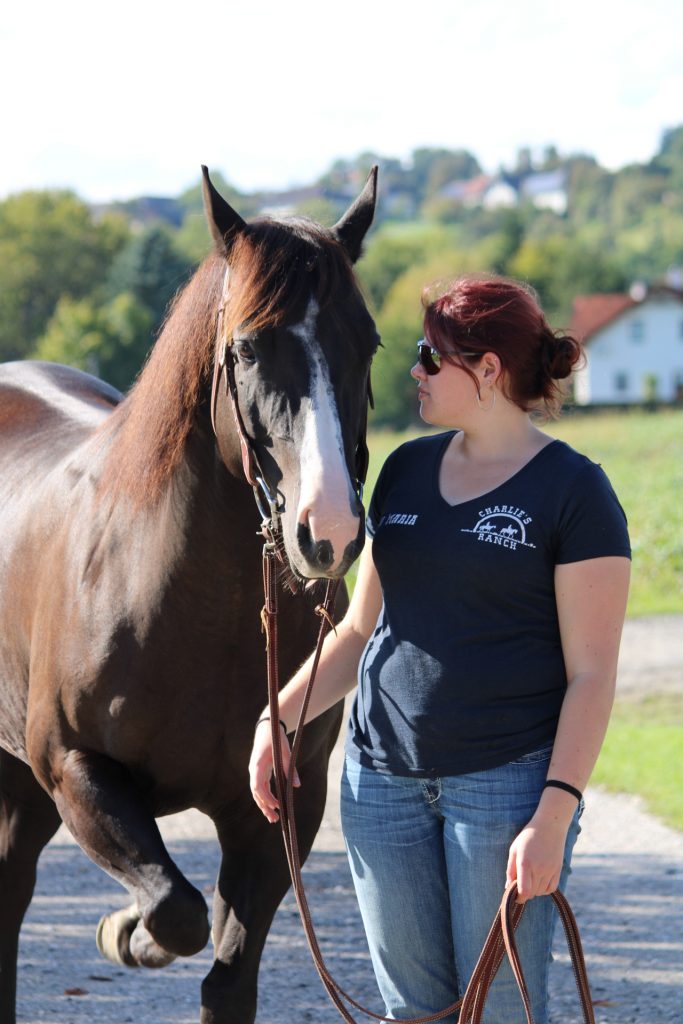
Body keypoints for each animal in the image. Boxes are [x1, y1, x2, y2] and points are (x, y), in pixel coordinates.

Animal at [0, 166, 379, 1024]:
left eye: (368, 342)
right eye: (244, 348)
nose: (329, 530)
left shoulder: (276, 812)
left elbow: (226, 975)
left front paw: (130, 931)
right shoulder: (75, 770)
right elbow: (176, 910)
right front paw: (126, 931)